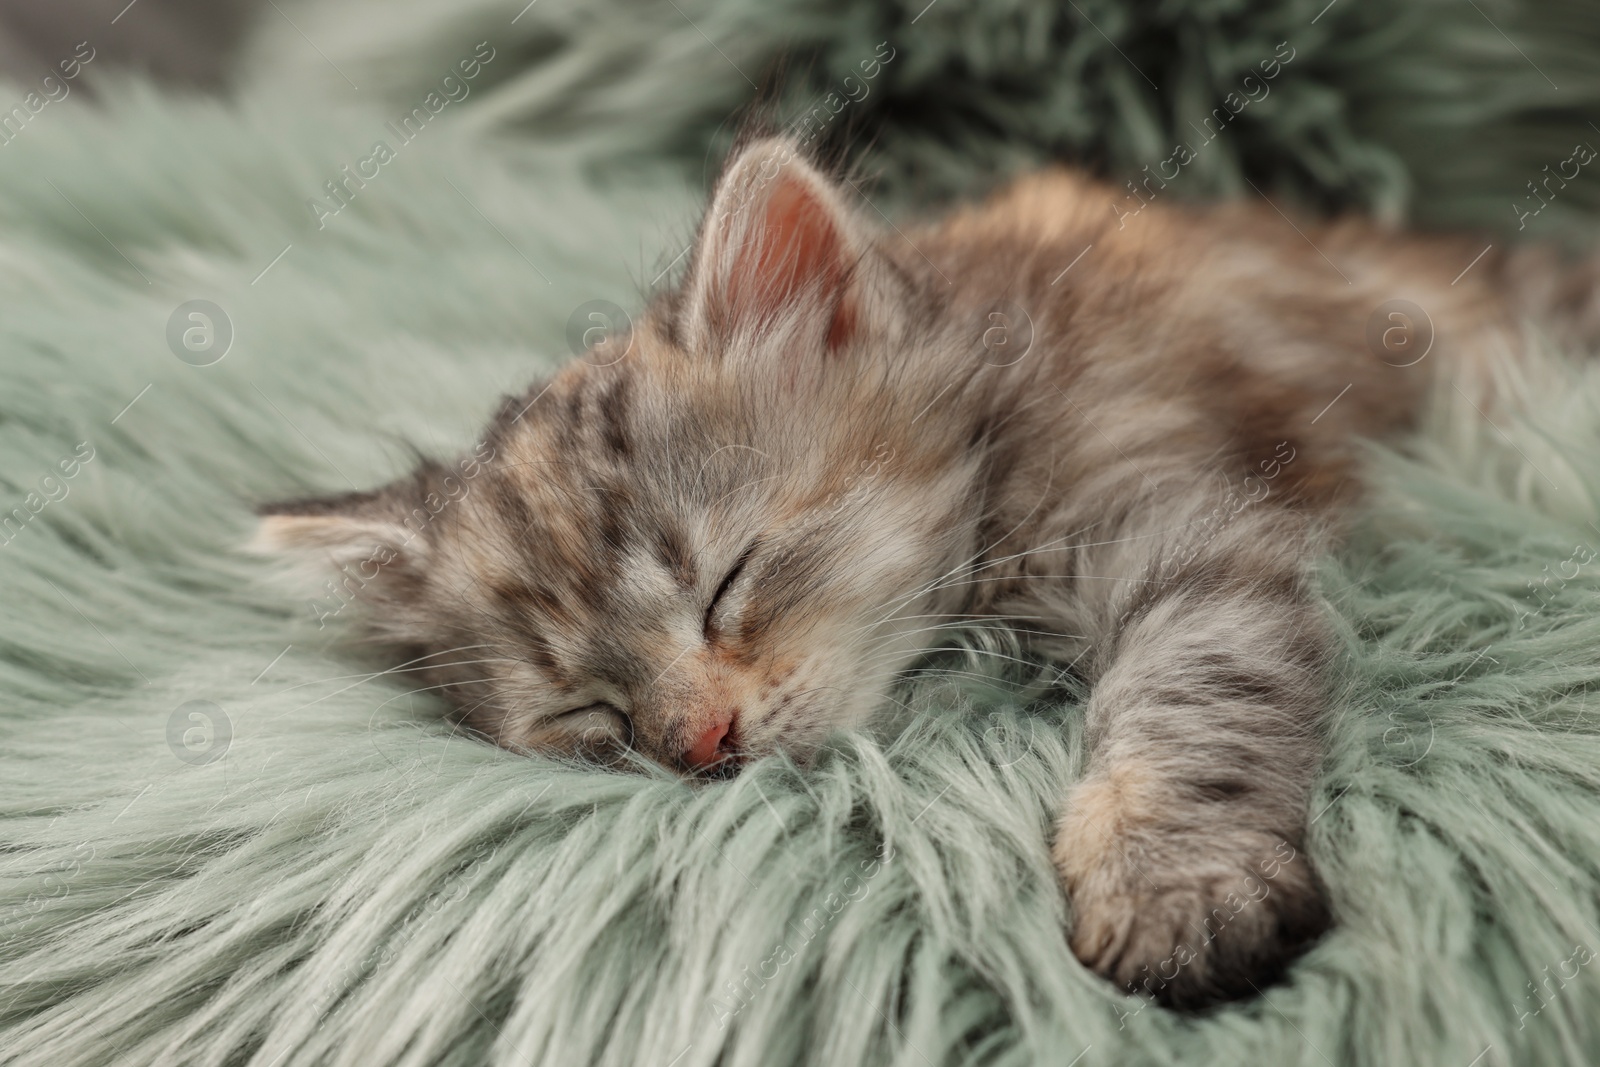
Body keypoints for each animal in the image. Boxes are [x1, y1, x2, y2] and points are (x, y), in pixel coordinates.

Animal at [252, 135, 1600, 1011]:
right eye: (588, 711)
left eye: (728, 581)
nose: (699, 746)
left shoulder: (1191, 533)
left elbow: (1192, 701)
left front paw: (1171, 878)